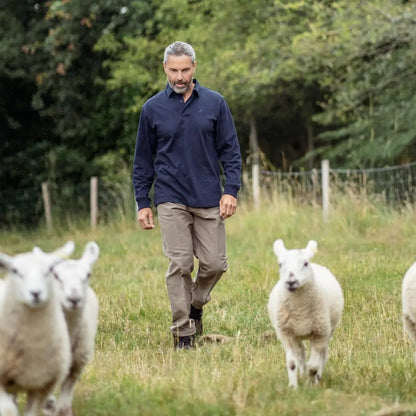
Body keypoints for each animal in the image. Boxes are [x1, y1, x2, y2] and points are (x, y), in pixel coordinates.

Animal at [43, 240, 100, 416]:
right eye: (56, 276)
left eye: (88, 275)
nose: (74, 299)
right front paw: (49, 405)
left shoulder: (76, 365)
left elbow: (64, 404)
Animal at [266, 239, 344, 388]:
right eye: (280, 264)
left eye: (305, 263)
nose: (291, 281)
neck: (300, 311)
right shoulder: (286, 334)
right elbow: (292, 363)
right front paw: (293, 387)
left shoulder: (320, 334)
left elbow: (313, 366)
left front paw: (310, 385)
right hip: (296, 334)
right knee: (301, 352)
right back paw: (302, 373)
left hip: (328, 329)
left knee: (323, 356)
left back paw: (317, 377)